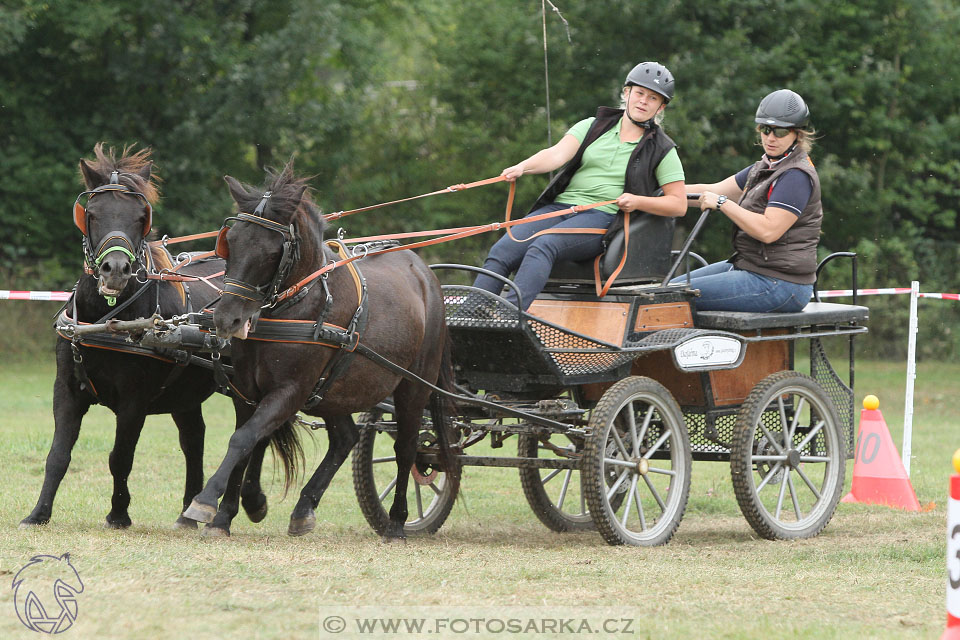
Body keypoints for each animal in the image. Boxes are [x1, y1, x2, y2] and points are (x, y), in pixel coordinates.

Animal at [19, 145, 240, 528]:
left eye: (140, 217)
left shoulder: (134, 399)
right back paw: (189, 510)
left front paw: (118, 513)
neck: (106, 319)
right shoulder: (66, 389)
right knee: (193, 439)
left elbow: (120, 456)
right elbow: (58, 454)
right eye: (91, 215)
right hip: (185, 395)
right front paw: (39, 513)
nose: (116, 270)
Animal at [185, 162, 462, 536]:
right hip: (334, 390)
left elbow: (243, 439)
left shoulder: (291, 390)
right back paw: (304, 507)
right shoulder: (247, 390)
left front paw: (204, 501)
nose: (227, 318)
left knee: (406, 448)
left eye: (272, 253)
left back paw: (397, 522)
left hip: (413, 386)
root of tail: (425, 274)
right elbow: (247, 439)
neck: (296, 304)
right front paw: (228, 513)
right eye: (229, 243)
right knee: (346, 438)